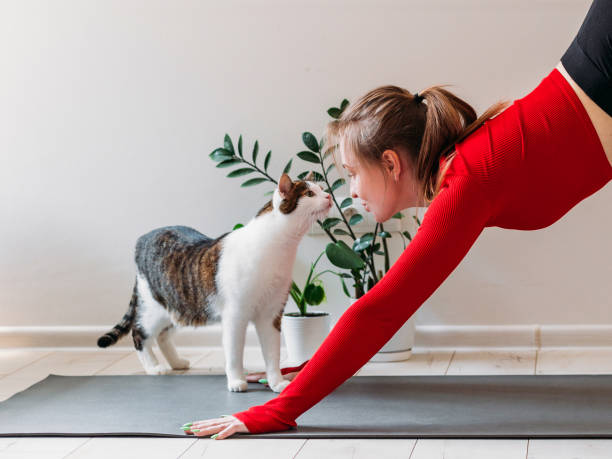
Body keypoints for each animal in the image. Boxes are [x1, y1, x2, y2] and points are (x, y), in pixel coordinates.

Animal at [97, 171, 332, 394]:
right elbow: (234, 353)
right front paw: (236, 381)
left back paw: (177, 362)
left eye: (321, 189)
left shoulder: (271, 314)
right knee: (140, 333)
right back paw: (154, 367)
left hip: (179, 307)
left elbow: (272, 355)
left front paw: (276, 382)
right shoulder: (235, 315)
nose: (329, 196)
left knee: (163, 335)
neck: (279, 248)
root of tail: (142, 239)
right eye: (309, 194)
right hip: (154, 307)